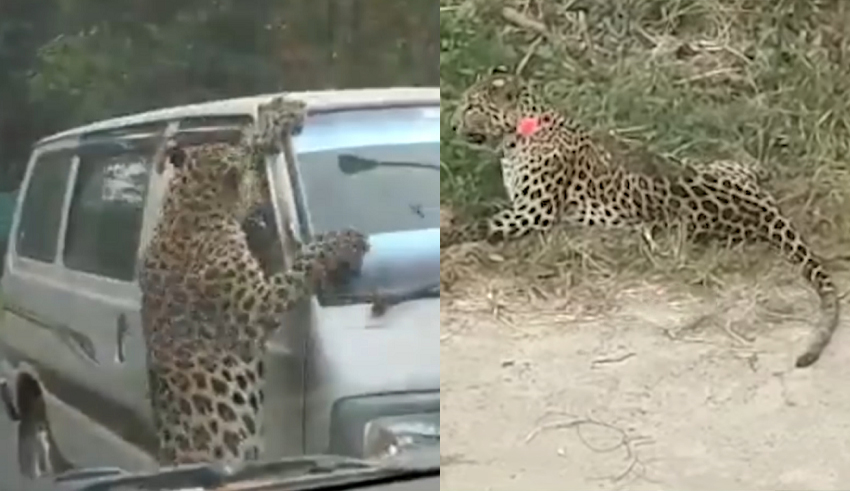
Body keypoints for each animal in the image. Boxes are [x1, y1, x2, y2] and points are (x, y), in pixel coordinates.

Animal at [139, 94, 370, 467]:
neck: (188, 207)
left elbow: (252, 163)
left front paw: (277, 117)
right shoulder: (255, 304)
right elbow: (301, 265)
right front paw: (341, 241)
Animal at [442, 67, 839, 369]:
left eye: (472, 106)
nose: (452, 126)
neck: (517, 136)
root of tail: (760, 208)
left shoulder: (533, 212)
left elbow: (481, 222)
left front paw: (448, 232)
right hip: (724, 167)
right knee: (753, 166)